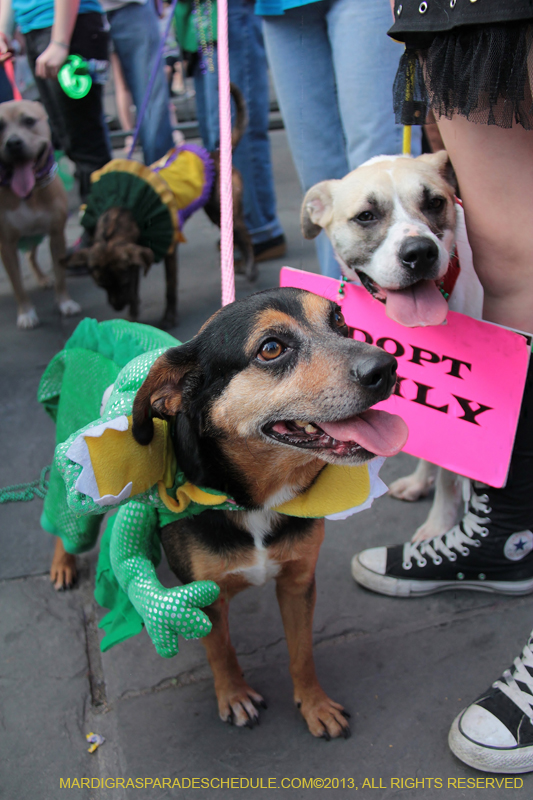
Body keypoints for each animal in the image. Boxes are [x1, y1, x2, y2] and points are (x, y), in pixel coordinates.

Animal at [0, 100, 80, 328]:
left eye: (29, 121)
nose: (13, 143)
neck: (29, 194)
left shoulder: (56, 234)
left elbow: (60, 275)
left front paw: (65, 303)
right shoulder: (6, 244)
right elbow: (17, 285)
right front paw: (26, 313)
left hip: (34, 235)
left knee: (30, 255)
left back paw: (43, 279)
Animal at [124, 288, 406, 736]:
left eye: (340, 322)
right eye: (271, 348)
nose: (386, 367)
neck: (256, 501)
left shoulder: (298, 582)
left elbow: (302, 653)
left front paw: (314, 705)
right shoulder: (205, 598)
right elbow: (221, 650)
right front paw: (235, 695)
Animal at [302, 152, 484, 544]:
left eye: (435, 203)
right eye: (366, 216)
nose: (420, 252)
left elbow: (450, 472)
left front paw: (439, 524)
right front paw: (420, 482)